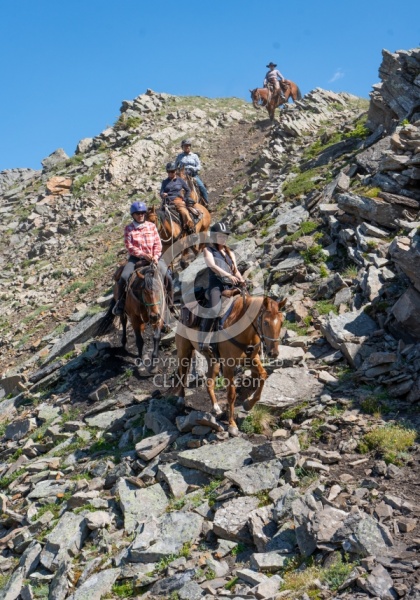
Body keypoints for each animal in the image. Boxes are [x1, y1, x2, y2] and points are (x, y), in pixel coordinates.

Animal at [173, 292, 286, 434]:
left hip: (213, 360)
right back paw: (181, 400)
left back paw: (216, 408)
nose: (273, 353)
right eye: (265, 322)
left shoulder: (252, 359)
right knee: (182, 375)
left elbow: (263, 375)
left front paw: (248, 404)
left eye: (281, 322)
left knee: (209, 383)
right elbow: (231, 394)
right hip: (184, 353)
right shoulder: (228, 365)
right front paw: (232, 425)